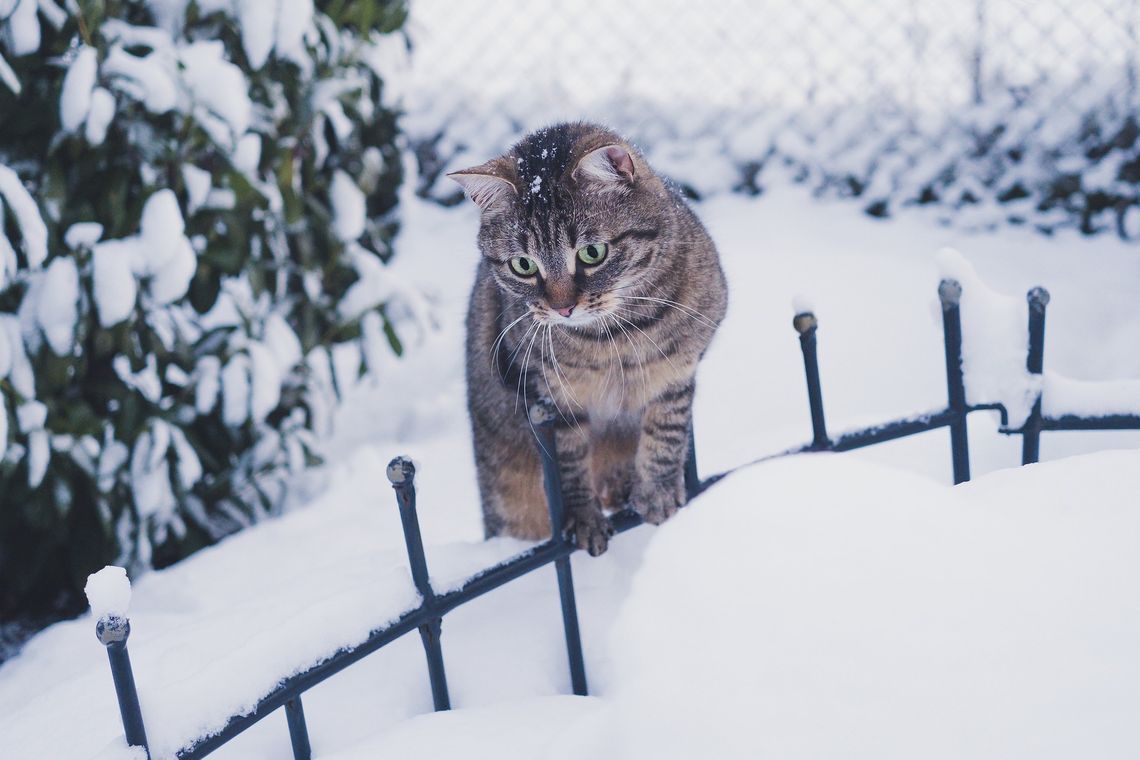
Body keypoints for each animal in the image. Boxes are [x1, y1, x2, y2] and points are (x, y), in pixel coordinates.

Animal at [449, 121, 725, 556]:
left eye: (592, 253)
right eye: (523, 265)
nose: (563, 308)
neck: (614, 338)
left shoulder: (680, 368)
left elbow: (666, 430)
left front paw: (658, 491)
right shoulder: (550, 395)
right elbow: (569, 460)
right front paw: (583, 517)